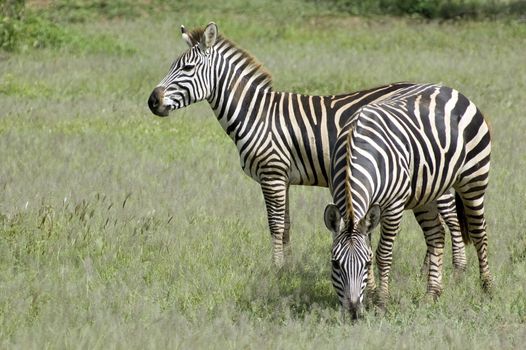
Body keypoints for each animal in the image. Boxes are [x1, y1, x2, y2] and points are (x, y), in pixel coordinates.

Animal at [146, 21, 468, 268]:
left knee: (451, 223)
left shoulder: (272, 173)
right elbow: (286, 225)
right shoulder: (283, 178)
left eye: (188, 68)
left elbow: (275, 224)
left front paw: (275, 268)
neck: (256, 114)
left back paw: (456, 273)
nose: (152, 101)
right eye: (173, 66)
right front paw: (287, 268)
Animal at [324, 83, 492, 318]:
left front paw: (381, 302)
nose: (354, 311)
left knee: (479, 232)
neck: (354, 150)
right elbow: (368, 243)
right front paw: (371, 297)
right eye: (335, 264)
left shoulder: (393, 206)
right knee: (437, 235)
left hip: (474, 179)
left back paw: (487, 288)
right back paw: (432, 294)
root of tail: (448, 88)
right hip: (427, 192)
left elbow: (383, 253)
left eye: (366, 264)